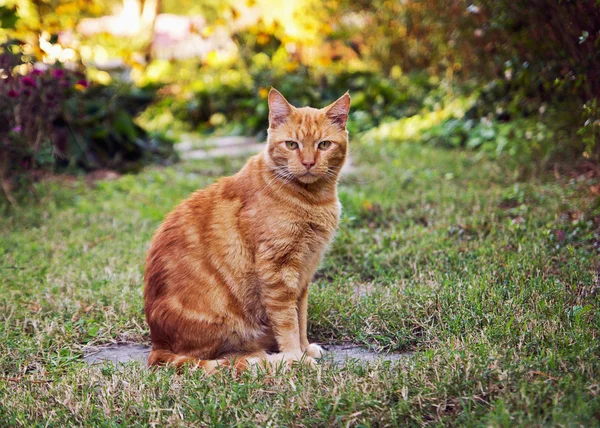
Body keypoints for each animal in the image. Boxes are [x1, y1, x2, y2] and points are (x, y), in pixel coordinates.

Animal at [144, 89, 350, 372]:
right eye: (291, 145)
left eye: (324, 145)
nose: (308, 163)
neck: (313, 199)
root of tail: (158, 344)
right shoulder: (278, 271)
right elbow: (288, 322)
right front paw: (296, 357)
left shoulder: (304, 274)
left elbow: (301, 316)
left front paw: (305, 348)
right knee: (229, 357)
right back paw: (274, 359)